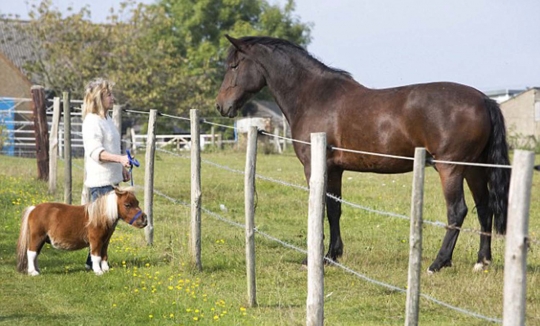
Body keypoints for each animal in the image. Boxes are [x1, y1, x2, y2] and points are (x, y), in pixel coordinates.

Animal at [17, 186, 148, 276]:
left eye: (137, 202)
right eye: (127, 204)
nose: (144, 220)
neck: (99, 216)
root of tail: (33, 209)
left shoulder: (105, 241)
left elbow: (104, 254)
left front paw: (105, 269)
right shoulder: (96, 240)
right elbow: (96, 256)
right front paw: (98, 271)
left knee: (35, 254)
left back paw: (37, 269)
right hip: (37, 237)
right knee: (31, 253)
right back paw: (33, 272)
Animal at [216, 35, 510, 272]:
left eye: (234, 65)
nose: (221, 105)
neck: (314, 96)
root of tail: (485, 100)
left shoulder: (315, 167)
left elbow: (320, 208)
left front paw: (315, 258)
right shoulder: (335, 169)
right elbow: (334, 209)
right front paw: (332, 255)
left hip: (450, 168)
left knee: (457, 211)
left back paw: (438, 263)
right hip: (473, 169)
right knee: (484, 209)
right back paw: (482, 261)